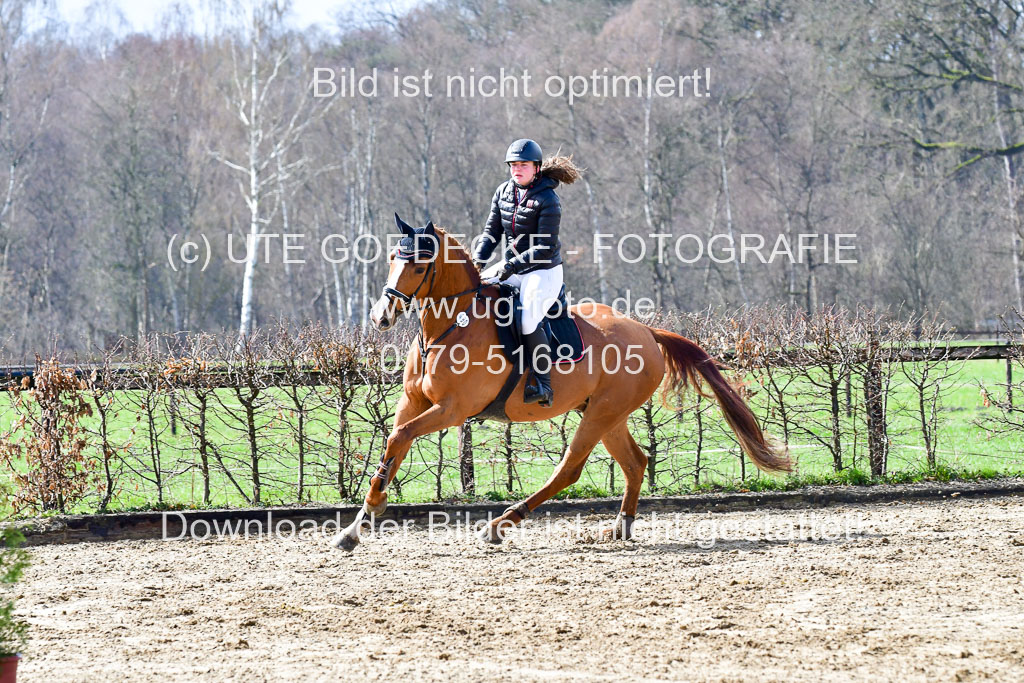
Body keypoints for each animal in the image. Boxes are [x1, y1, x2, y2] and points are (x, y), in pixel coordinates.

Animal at [335, 215, 790, 548]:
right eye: (392, 257)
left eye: (417, 263)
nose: (381, 317)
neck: (449, 327)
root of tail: (647, 331)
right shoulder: (413, 403)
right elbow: (391, 448)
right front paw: (356, 526)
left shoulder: (452, 410)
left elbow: (399, 439)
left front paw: (372, 509)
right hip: (608, 414)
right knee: (635, 462)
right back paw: (621, 527)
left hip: (601, 414)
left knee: (569, 468)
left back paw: (500, 525)